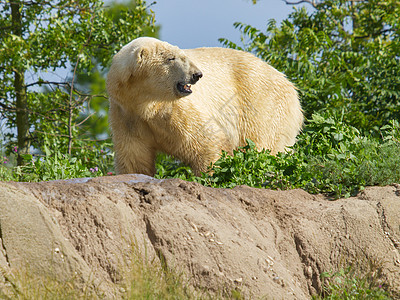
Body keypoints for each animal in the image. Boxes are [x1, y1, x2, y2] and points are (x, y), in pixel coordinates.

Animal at [106, 37, 304, 177]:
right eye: (171, 58)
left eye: (183, 55)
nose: (197, 74)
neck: (145, 104)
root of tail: (291, 87)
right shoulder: (126, 115)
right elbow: (134, 158)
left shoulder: (174, 110)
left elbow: (207, 141)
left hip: (261, 102)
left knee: (264, 145)